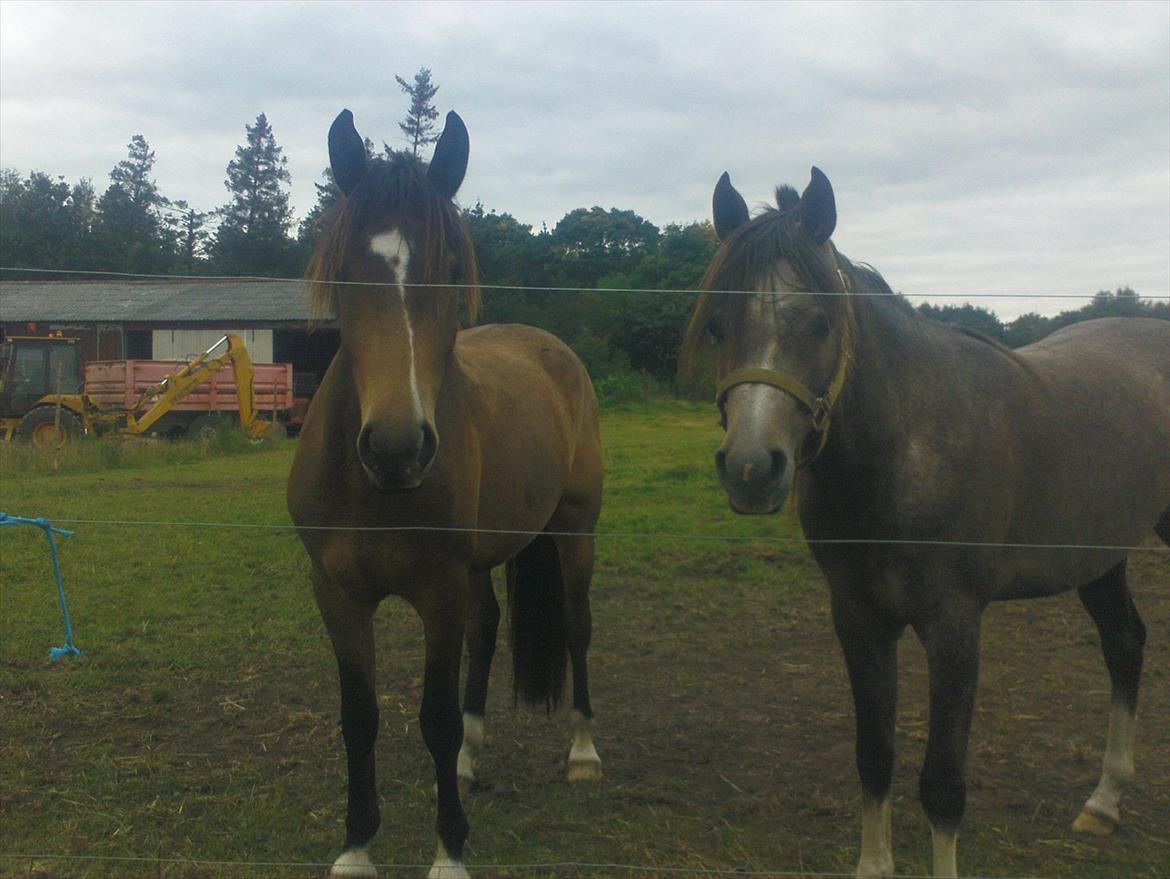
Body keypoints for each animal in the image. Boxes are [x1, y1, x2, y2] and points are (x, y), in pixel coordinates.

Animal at [287, 110, 603, 879]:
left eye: (453, 271)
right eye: (346, 271)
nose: (397, 448)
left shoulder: (437, 590)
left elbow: (430, 717)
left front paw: (449, 851)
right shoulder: (336, 592)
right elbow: (359, 715)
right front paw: (356, 847)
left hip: (575, 530)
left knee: (577, 624)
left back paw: (583, 750)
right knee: (488, 628)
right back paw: (468, 755)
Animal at [678, 168, 1170, 875]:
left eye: (822, 323)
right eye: (719, 325)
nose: (750, 468)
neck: (904, 451)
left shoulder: (953, 624)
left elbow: (941, 785)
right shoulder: (859, 618)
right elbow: (874, 757)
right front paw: (873, 863)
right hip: (1100, 557)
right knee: (1125, 645)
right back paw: (1103, 803)